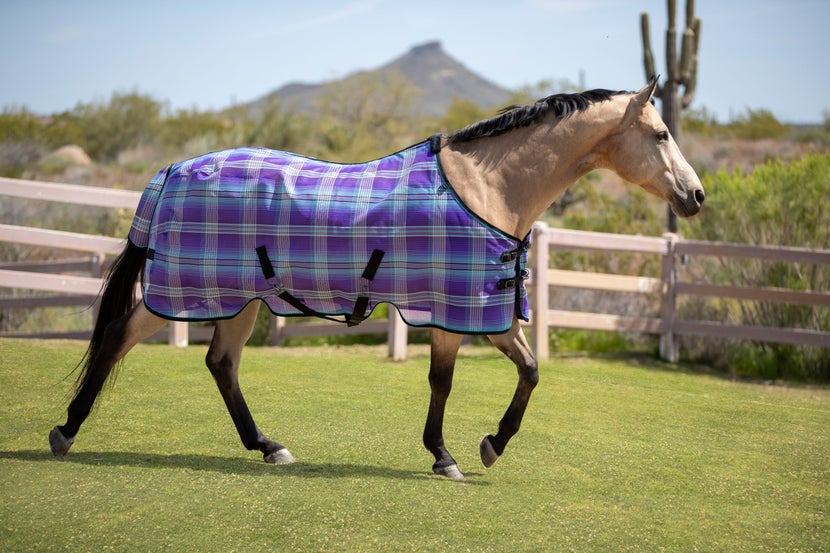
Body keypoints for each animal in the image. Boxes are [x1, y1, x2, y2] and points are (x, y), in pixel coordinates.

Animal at [48, 78, 704, 478]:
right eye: (661, 134)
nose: (695, 197)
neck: (487, 189)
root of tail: (172, 170)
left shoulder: (478, 310)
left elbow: (525, 371)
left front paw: (482, 447)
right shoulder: (462, 309)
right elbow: (455, 380)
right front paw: (459, 453)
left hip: (241, 298)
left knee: (221, 364)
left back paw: (268, 446)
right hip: (188, 291)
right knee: (120, 338)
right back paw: (65, 433)